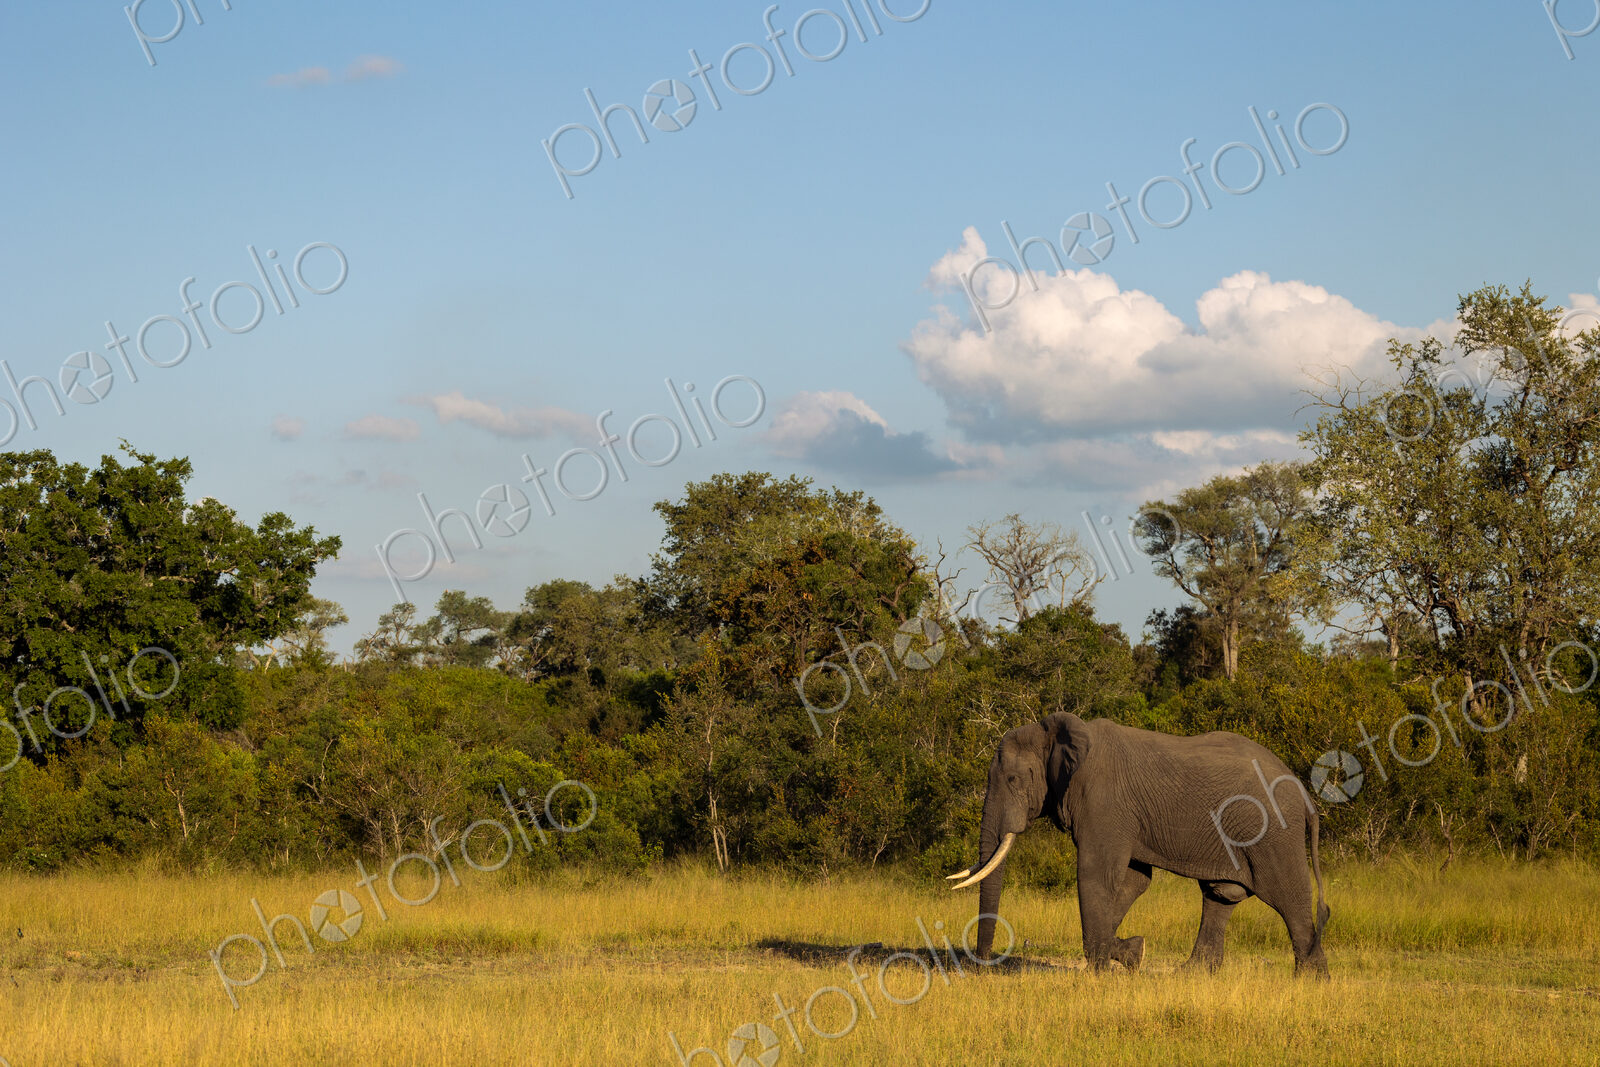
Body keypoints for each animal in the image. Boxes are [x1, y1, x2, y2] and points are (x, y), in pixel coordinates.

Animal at [948, 712, 1329, 975]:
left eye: (1013, 779)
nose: (982, 966)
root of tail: (1304, 795)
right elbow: (1134, 881)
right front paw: (1132, 953)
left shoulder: (1102, 803)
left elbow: (1096, 875)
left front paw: (1101, 971)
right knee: (1220, 895)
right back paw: (1191, 976)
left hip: (1272, 834)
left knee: (1288, 897)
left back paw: (1310, 981)